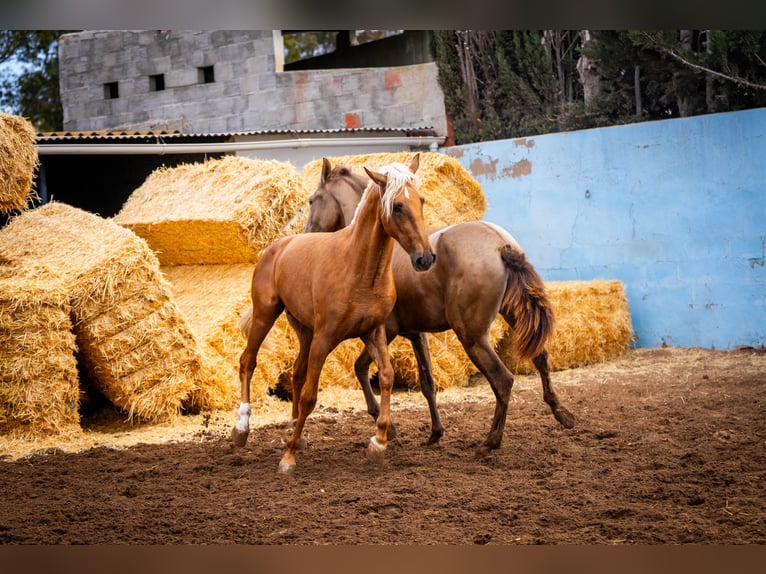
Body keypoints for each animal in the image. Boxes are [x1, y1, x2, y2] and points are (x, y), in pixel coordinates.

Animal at [231, 154, 435, 474]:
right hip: (266, 315)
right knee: (247, 362)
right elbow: (310, 397)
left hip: (304, 332)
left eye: (421, 200)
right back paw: (242, 429)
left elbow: (386, 377)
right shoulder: (325, 337)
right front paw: (287, 459)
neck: (360, 269)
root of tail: (278, 248)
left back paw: (296, 433)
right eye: (398, 206)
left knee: (297, 373)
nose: (424, 258)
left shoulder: (374, 332)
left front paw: (378, 443)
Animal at [298, 159, 575, 456]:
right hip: (512, 316)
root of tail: (500, 244)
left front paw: (386, 426)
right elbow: (428, 382)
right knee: (541, 357)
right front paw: (435, 432)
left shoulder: (386, 331)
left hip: (472, 337)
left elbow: (360, 368)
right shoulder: (416, 334)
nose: (305, 237)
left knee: (503, 380)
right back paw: (562, 413)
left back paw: (491, 441)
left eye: (312, 200)